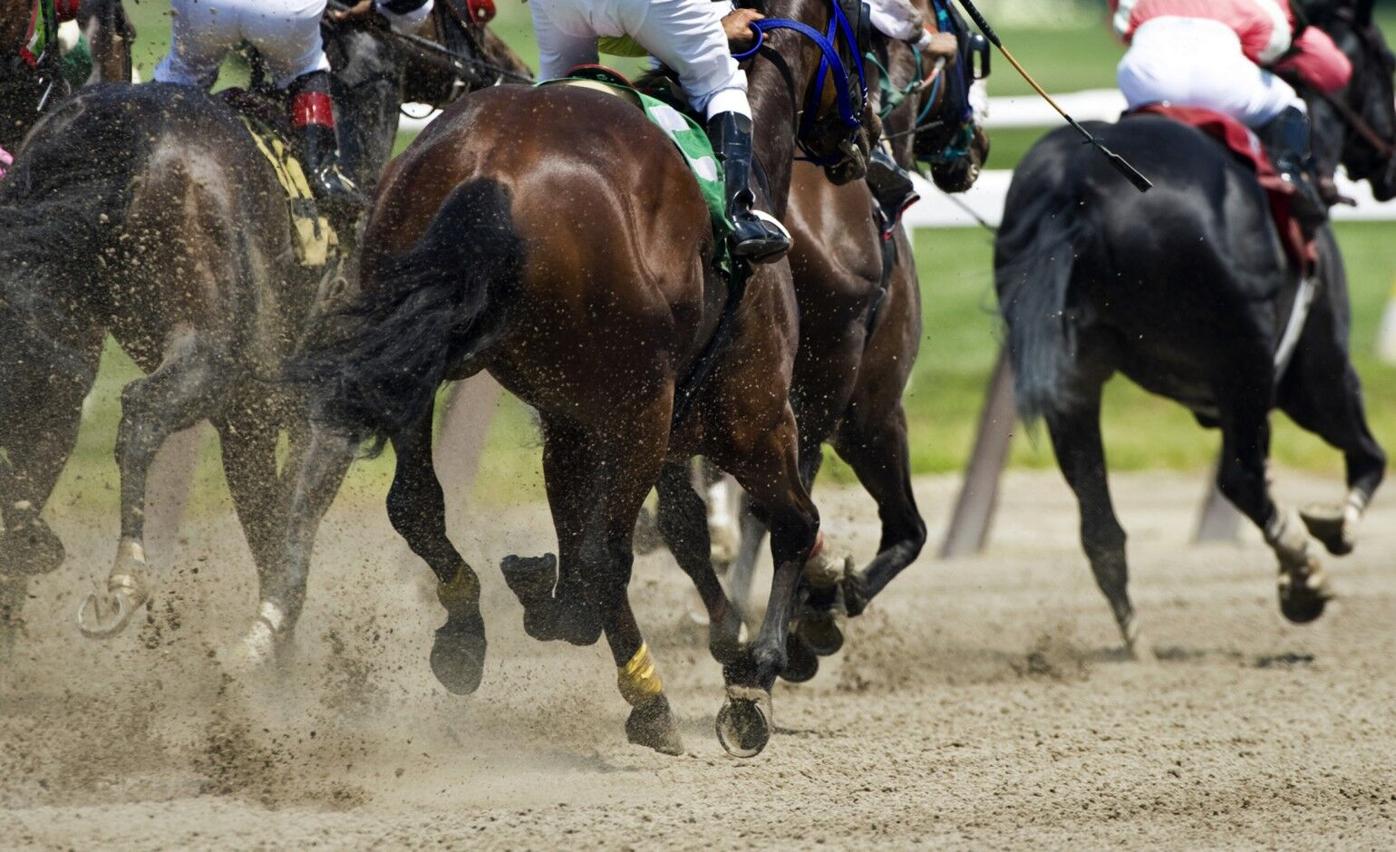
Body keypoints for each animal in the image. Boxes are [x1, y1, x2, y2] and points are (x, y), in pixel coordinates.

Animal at [0, 19, 528, 651]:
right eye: (470, 15)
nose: (513, 70)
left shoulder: (246, 420)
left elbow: (267, 526)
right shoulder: (317, 410)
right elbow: (293, 529)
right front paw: (269, 638)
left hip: (53, 331)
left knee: (46, 418)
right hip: (206, 352)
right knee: (142, 411)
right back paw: (123, 578)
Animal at [289, 0, 877, 756]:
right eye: (863, 29)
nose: (867, 143)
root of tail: (492, 166)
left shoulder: (571, 419)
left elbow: (602, 548)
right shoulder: (754, 417)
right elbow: (792, 524)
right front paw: (756, 676)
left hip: (420, 354)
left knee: (418, 505)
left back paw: (469, 631)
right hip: (644, 408)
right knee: (604, 560)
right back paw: (645, 694)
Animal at [995, 0, 1393, 654]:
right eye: (1387, 61)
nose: (1390, 166)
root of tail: (1078, 185)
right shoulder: (1316, 372)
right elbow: (1368, 457)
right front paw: (1331, 532)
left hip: (1073, 380)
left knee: (1099, 525)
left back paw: (1137, 643)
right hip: (1247, 362)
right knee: (1241, 479)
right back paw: (1303, 577)